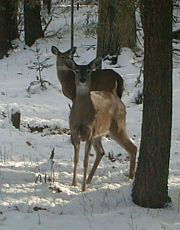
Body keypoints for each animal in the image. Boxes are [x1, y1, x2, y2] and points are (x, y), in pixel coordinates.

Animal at [64, 58, 136, 191]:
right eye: (76, 70)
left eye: (88, 70)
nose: (82, 79)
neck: (82, 115)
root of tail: (114, 94)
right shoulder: (74, 130)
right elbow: (76, 159)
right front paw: (74, 184)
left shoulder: (90, 132)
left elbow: (85, 161)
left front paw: (82, 189)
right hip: (100, 132)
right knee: (101, 151)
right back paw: (89, 180)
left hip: (117, 126)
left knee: (132, 147)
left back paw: (130, 177)